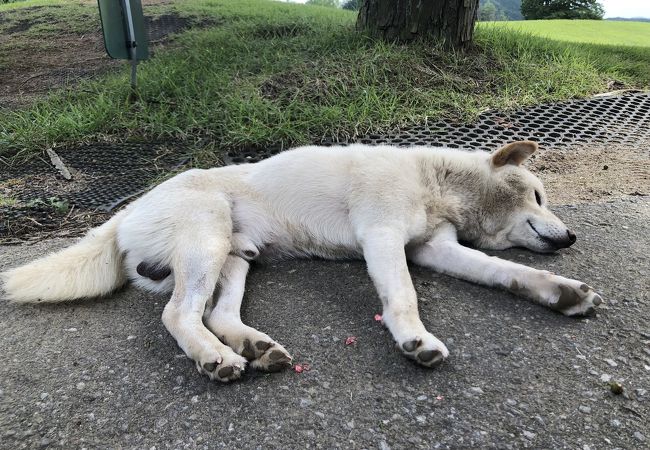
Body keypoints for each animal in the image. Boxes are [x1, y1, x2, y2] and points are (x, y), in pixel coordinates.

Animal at [0, 142, 600, 382]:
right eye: (539, 195)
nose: (571, 236)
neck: (437, 183)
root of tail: (123, 212)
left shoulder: (436, 247)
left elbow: (510, 272)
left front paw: (561, 290)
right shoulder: (383, 236)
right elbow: (403, 295)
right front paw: (414, 339)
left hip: (237, 258)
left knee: (215, 313)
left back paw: (253, 346)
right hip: (207, 238)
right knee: (178, 315)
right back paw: (216, 358)